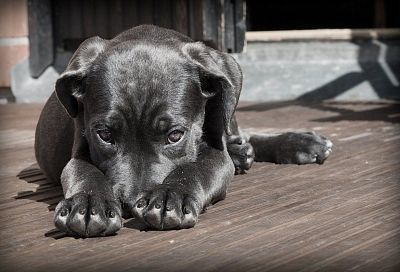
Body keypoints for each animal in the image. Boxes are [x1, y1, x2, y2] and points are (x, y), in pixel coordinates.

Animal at [36, 26, 332, 238]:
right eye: (105, 135)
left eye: (175, 135)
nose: (131, 204)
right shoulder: (79, 148)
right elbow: (84, 172)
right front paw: (87, 204)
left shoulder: (215, 153)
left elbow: (195, 168)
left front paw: (170, 196)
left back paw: (298, 143)